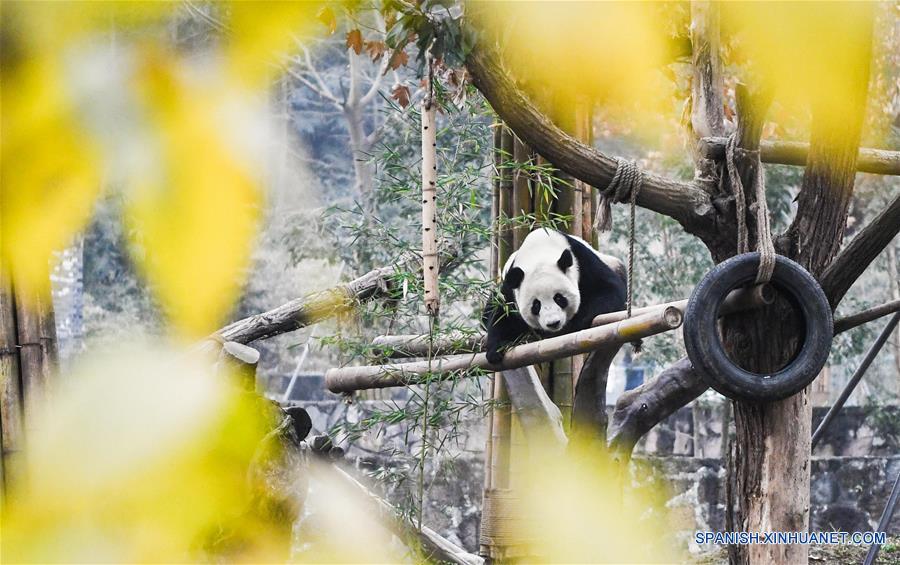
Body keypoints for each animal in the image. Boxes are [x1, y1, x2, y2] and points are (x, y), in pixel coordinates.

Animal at [486, 227, 624, 364]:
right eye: (536, 305)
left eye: (558, 298)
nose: (553, 323)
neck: (539, 253)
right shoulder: (511, 287)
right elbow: (501, 313)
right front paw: (496, 350)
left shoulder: (582, 261)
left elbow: (610, 290)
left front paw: (569, 326)